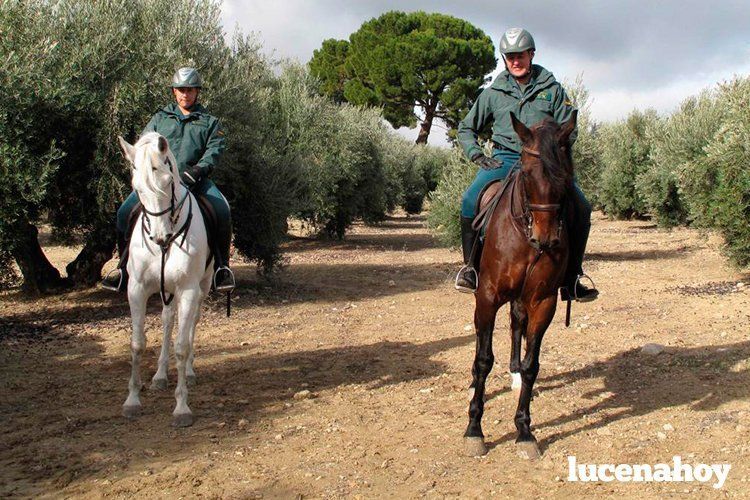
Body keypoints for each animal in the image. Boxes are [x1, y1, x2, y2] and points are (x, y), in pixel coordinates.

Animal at [118, 132, 212, 426]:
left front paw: (182, 407)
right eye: (136, 187)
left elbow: (182, 346)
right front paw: (132, 400)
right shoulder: (136, 289)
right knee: (168, 320)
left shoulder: (189, 290)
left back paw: (189, 373)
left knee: (191, 324)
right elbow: (137, 344)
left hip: (201, 288)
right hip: (166, 292)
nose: (160, 237)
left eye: (168, 182)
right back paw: (160, 376)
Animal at [464, 111, 580, 458]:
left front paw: (525, 430)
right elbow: (483, 359)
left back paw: (514, 375)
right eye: (526, 174)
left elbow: (532, 364)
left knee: (517, 324)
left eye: (565, 175)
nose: (545, 239)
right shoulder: (487, 297)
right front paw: (474, 429)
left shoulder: (543, 301)